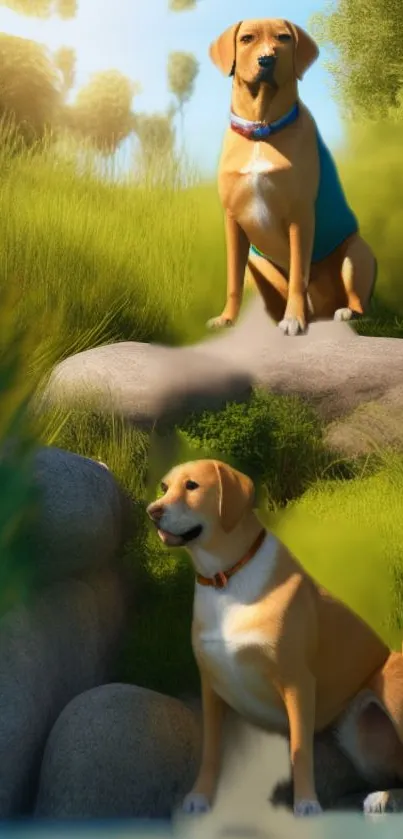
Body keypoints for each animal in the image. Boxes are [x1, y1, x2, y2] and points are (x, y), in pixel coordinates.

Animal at [148, 462, 403, 816]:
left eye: (192, 485)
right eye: (164, 487)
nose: (152, 511)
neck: (226, 578)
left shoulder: (297, 682)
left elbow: (300, 748)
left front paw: (306, 803)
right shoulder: (211, 689)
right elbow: (211, 750)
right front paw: (199, 796)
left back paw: (381, 798)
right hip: (361, 740)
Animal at [208, 18, 378, 336]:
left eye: (283, 38)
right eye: (247, 39)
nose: (267, 59)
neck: (262, 130)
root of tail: (322, 308)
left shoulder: (300, 218)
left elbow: (299, 274)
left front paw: (293, 319)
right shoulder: (233, 222)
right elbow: (233, 280)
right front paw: (227, 318)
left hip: (355, 254)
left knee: (357, 301)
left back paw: (344, 311)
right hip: (257, 261)